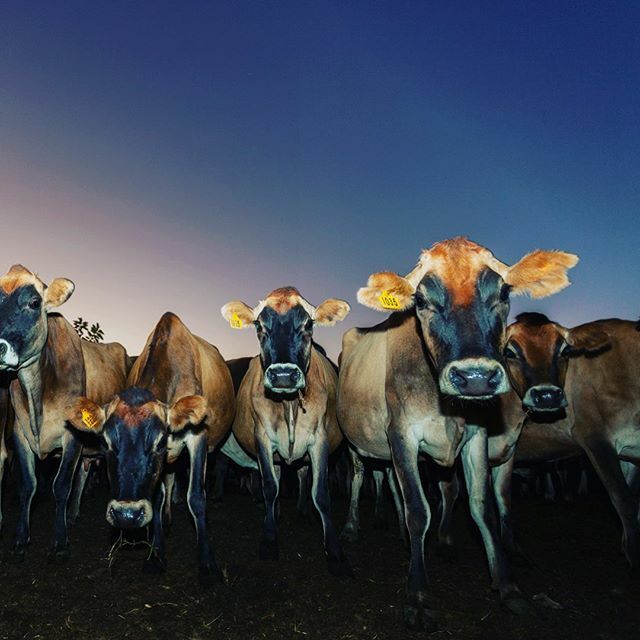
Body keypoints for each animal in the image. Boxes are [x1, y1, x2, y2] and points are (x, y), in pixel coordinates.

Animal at [0, 264, 129, 558]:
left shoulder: (72, 436)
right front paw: (20, 539)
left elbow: (60, 486)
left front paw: (59, 542)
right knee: (83, 471)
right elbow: (28, 486)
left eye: (34, 303)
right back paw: (73, 514)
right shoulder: (20, 433)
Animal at [66, 312, 235, 583]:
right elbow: (156, 498)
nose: (126, 515)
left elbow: (197, 498)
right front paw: (155, 557)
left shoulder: (198, 437)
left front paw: (207, 565)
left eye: (159, 442)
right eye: (106, 442)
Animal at [220, 286, 352, 576]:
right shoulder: (262, 437)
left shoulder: (320, 441)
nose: (282, 375)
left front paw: (335, 552)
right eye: (259, 325)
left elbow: (321, 493)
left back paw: (303, 511)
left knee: (303, 475)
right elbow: (270, 487)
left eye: (308, 325)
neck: (288, 404)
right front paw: (269, 540)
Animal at [337, 237, 578, 630]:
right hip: (357, 441)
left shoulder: (476, 437)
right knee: (360, 477)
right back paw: (352, 527)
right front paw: (418, 596)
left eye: (503, 292)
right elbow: (418, 510)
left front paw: (508, 586)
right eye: (421, 300)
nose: (475, 377)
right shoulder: (401, 434)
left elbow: (482, 507)